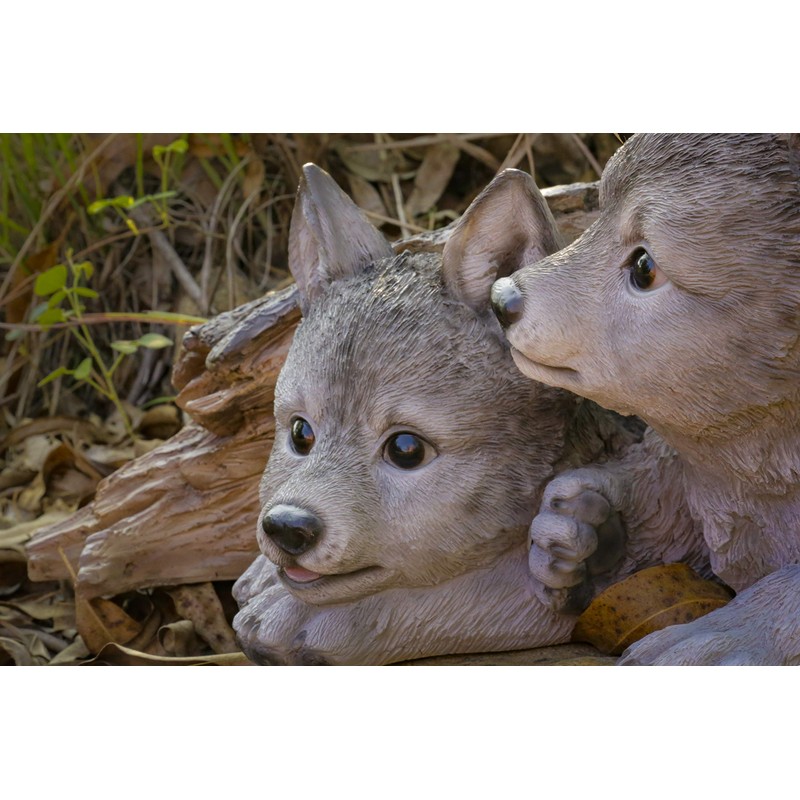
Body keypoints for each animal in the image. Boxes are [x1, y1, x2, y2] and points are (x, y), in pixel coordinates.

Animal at [231, 163, 707, 665]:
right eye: (300, 434)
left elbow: (452, 599)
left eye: (406, 449)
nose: (287, 528)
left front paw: (298, 618)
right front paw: (263, 577)